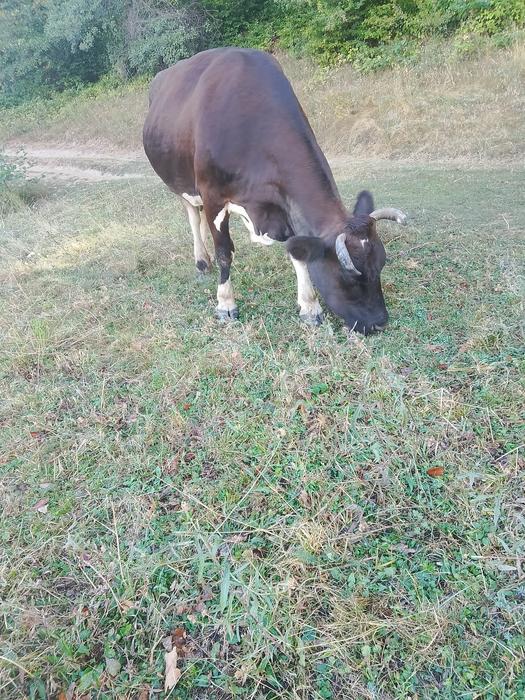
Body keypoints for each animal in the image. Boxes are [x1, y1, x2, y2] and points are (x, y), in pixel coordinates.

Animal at [143, 47, 407, 335]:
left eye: (381, 264)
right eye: (348, 277)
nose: (380, 322)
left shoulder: (284, 203)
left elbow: (298, 253)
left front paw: (310, 307)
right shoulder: (213, 196)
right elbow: (224, 252)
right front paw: (225, 304)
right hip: (181, 182)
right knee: (193, 216)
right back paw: (202, 261)